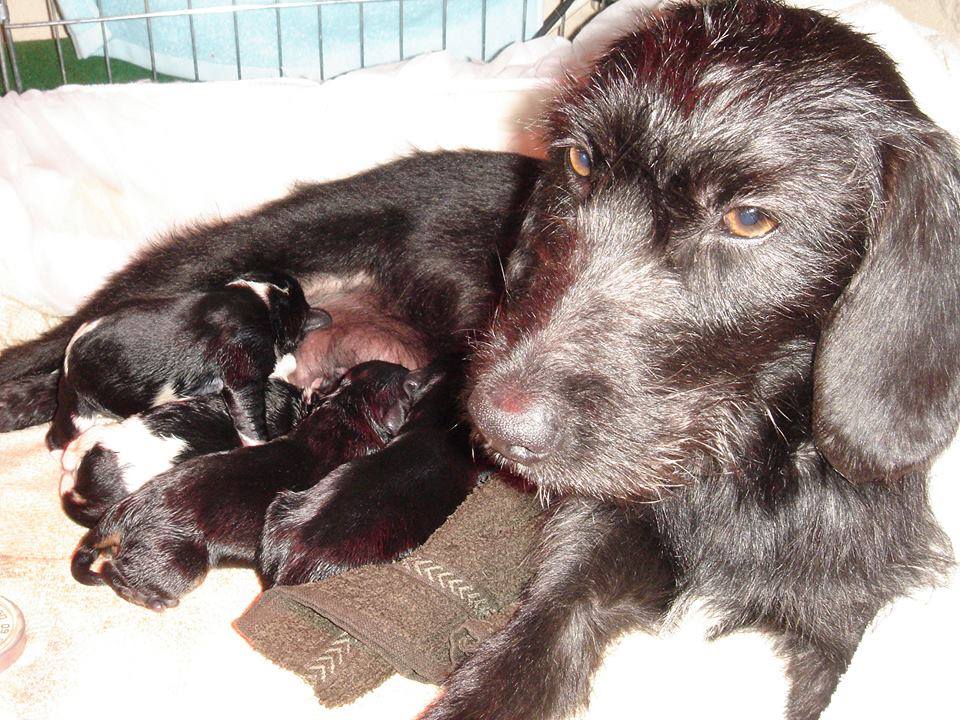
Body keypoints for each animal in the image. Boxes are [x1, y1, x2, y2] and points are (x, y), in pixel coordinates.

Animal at [48, 270, 330, 450]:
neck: (264, 299)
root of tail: (66, 366)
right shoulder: (241, 373)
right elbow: (250, 421)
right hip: (80, 412)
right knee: (58, 437)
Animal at [69, 362, 426, 612]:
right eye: (406, 381)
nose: (416, 373)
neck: (345, 413)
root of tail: (121, 514)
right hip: (179, 563)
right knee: (114, 573)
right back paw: (154, 600)